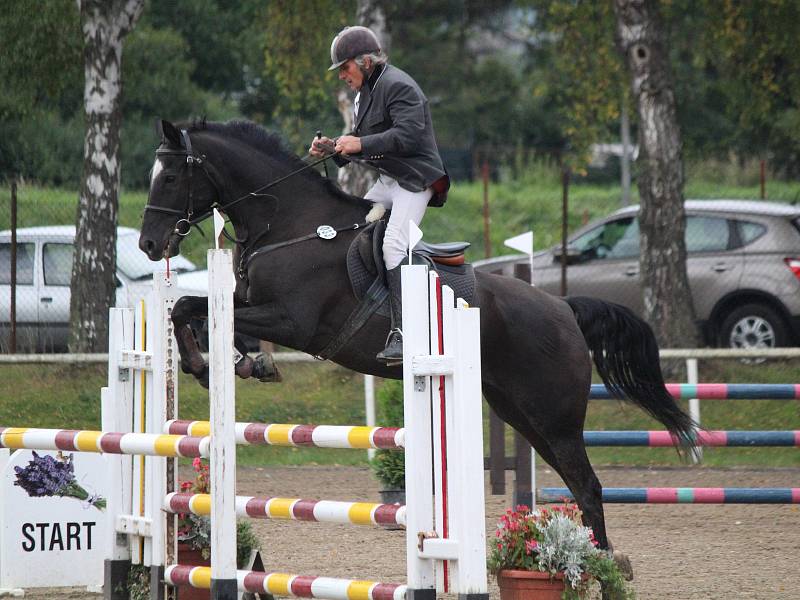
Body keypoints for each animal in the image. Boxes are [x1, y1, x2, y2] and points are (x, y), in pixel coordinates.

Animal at [141, 119, 696, 560]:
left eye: (169, 177)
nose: (149, 245)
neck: (291, 224)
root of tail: (563, 308)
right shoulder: (252, 305)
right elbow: (188, 308)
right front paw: (228, 363)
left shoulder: (292, 321)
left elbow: (200, 309)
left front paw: (222, 365)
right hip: (520, 412)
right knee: (576, 485)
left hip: (554, 416)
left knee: (589, 486)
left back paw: (600, 564)